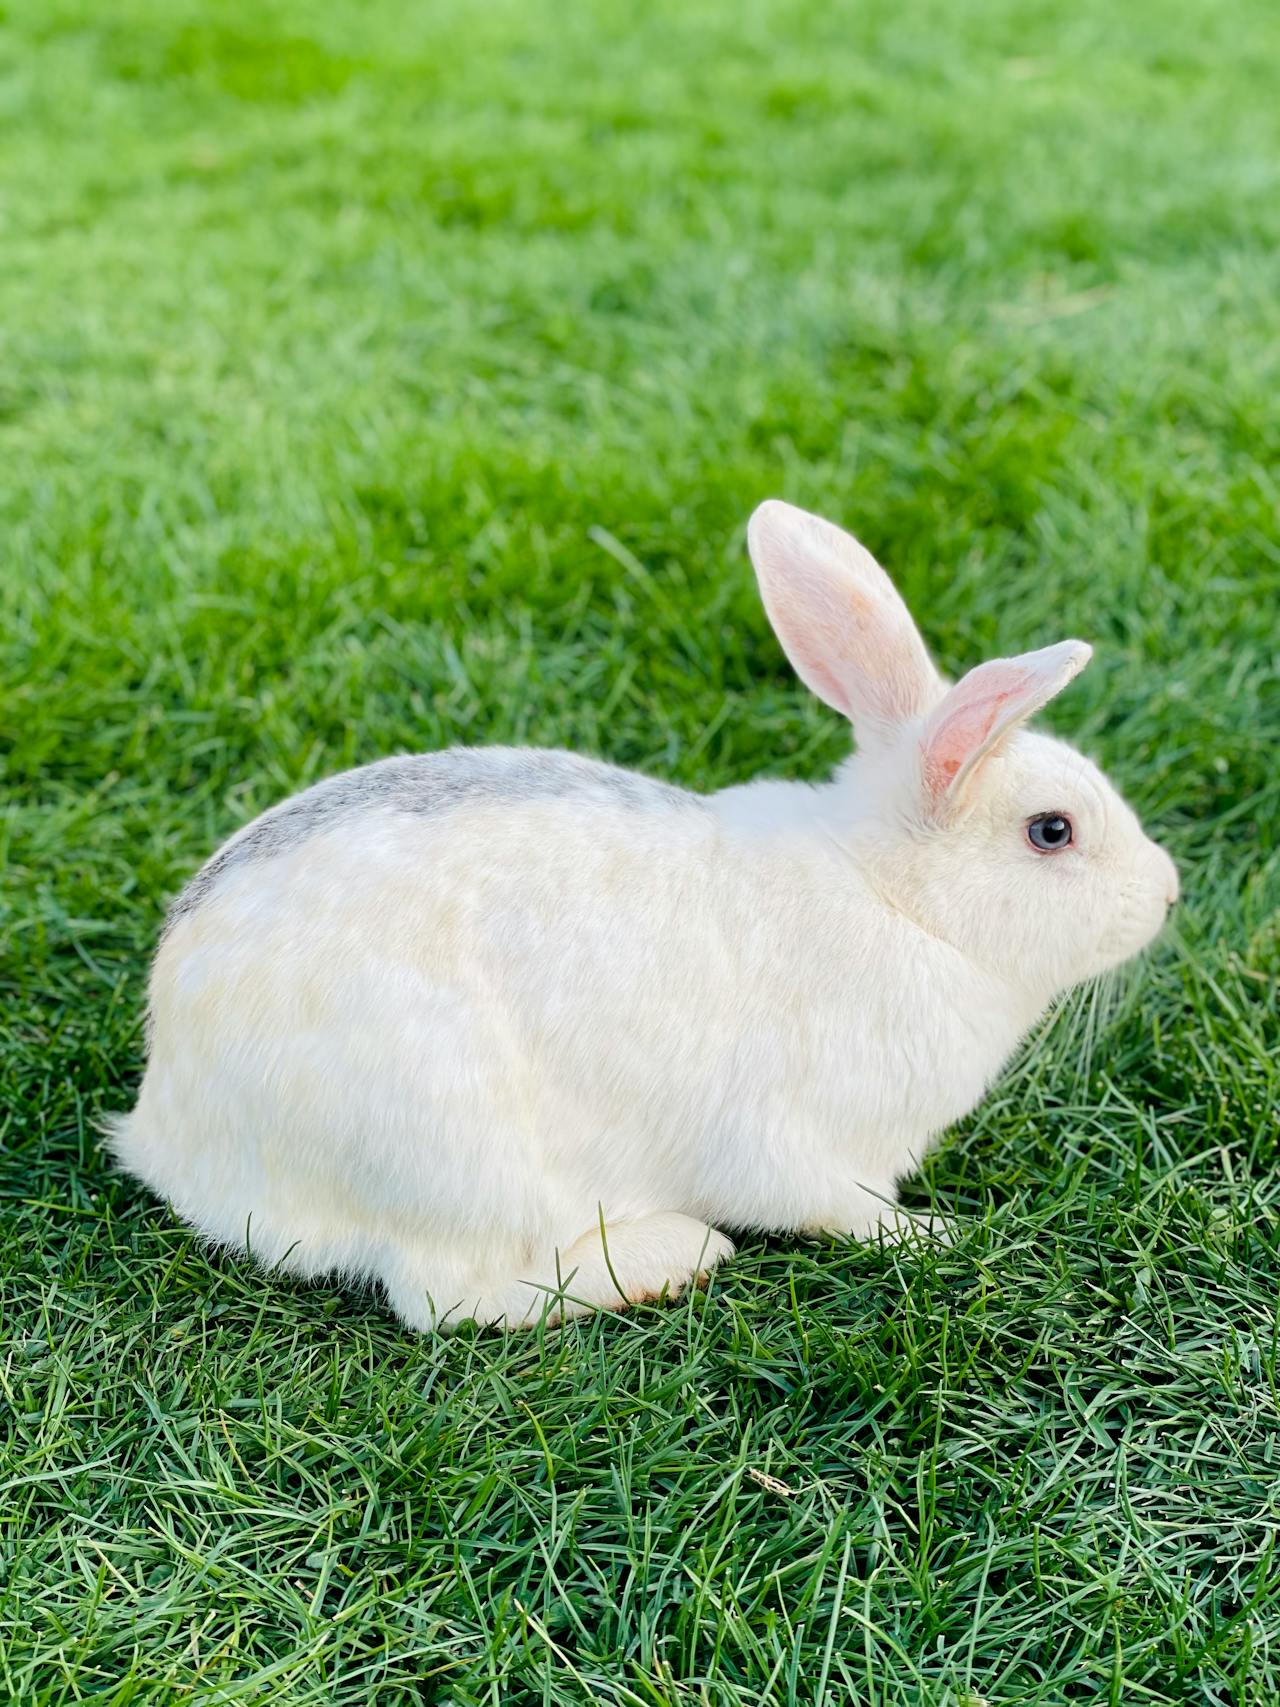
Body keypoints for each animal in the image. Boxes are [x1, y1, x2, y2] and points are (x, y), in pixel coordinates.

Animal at [107, 500, 1180, 1331]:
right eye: (1053, 831)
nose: (1168, 890)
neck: (895, 896)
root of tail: (167, 1126)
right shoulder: (800, 1145)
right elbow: (843, 1213)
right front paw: (940, 1234)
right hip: (448, 1150)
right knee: (444, 1295)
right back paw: (674, 1255)